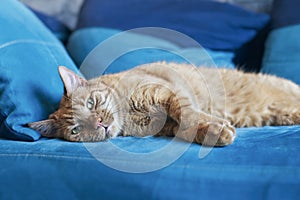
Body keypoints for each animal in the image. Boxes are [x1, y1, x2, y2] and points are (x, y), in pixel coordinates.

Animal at [29, 63, 300, 147]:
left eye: (91, 102)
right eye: (76, 130)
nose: (99, 123)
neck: (130, 115)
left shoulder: (168, 93)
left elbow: (189, 114)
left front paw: (214, 127)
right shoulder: (167, 126)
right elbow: (187, 128)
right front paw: (213, 131)